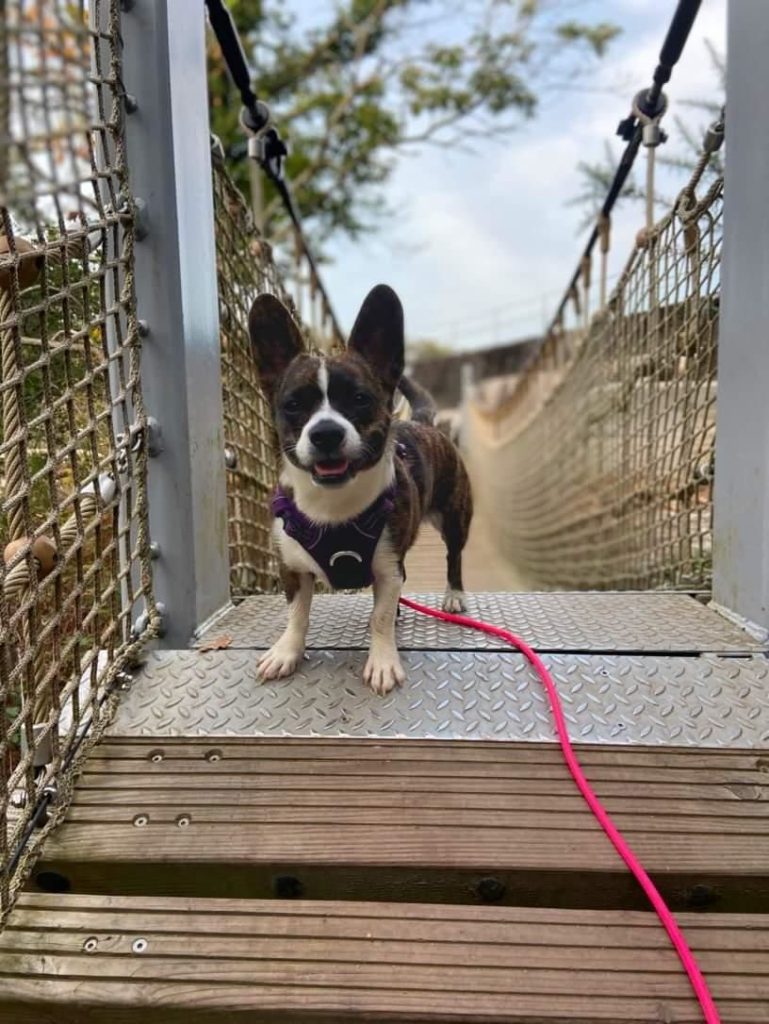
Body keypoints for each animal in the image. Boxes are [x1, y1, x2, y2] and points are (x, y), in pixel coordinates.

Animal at [249, 284, 473, 692]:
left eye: (359, 399)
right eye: (293, 405)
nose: (325, 433)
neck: (332, 504)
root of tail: (423, 422)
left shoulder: (387, 568)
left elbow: (378, 618)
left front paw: (383, 661)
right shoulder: (294, 570)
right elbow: (297, 615)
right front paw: (287, 652)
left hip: (454, 519)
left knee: (454, 558)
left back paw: (453, 596)